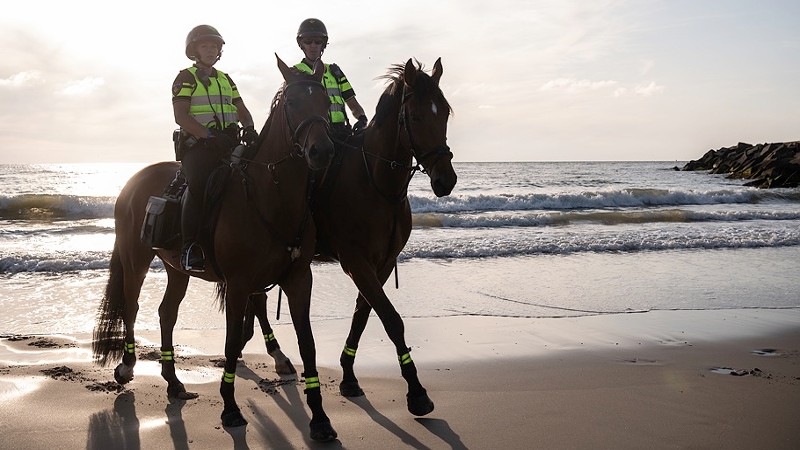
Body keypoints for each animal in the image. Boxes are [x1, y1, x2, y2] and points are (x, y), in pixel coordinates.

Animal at [94, 54, 340, 442]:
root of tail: (132, 182)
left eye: (325, 101)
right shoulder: (238, 285)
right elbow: (230, 342)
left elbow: (308, 345)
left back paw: (174, 382)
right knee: (132, 307)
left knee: (166, 313)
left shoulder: (299, 280)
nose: (322, 151)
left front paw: (319, 418)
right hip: (136, 260)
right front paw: (230, 408)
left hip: (177, 269)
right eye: (292, 102)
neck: (270, 197)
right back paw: (127, 366)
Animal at [244, 58, 456, 416]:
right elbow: (390, 319)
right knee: (257, 299)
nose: (446, 179)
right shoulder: (356, 262)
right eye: (414, 117)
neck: (377, 182)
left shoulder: (381, 264)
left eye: (444, 114)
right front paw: (416, 392)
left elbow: (363, 313)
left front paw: (348, 375)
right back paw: (277, 356)